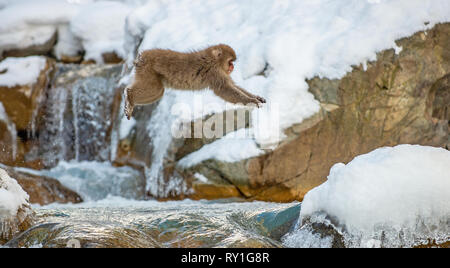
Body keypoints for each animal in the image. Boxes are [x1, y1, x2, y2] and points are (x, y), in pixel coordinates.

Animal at [124, 44, 264, 119]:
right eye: (230, 62)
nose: (232, 67)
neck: (214, 60)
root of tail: (141, 57)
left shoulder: (221, 73)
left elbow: (233, 86)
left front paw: (257, 98)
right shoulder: (215, 73)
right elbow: (224, 89)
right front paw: (251, 101)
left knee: (158, 92)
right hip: (147, 71)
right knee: (157, 90)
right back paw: (129, 95)